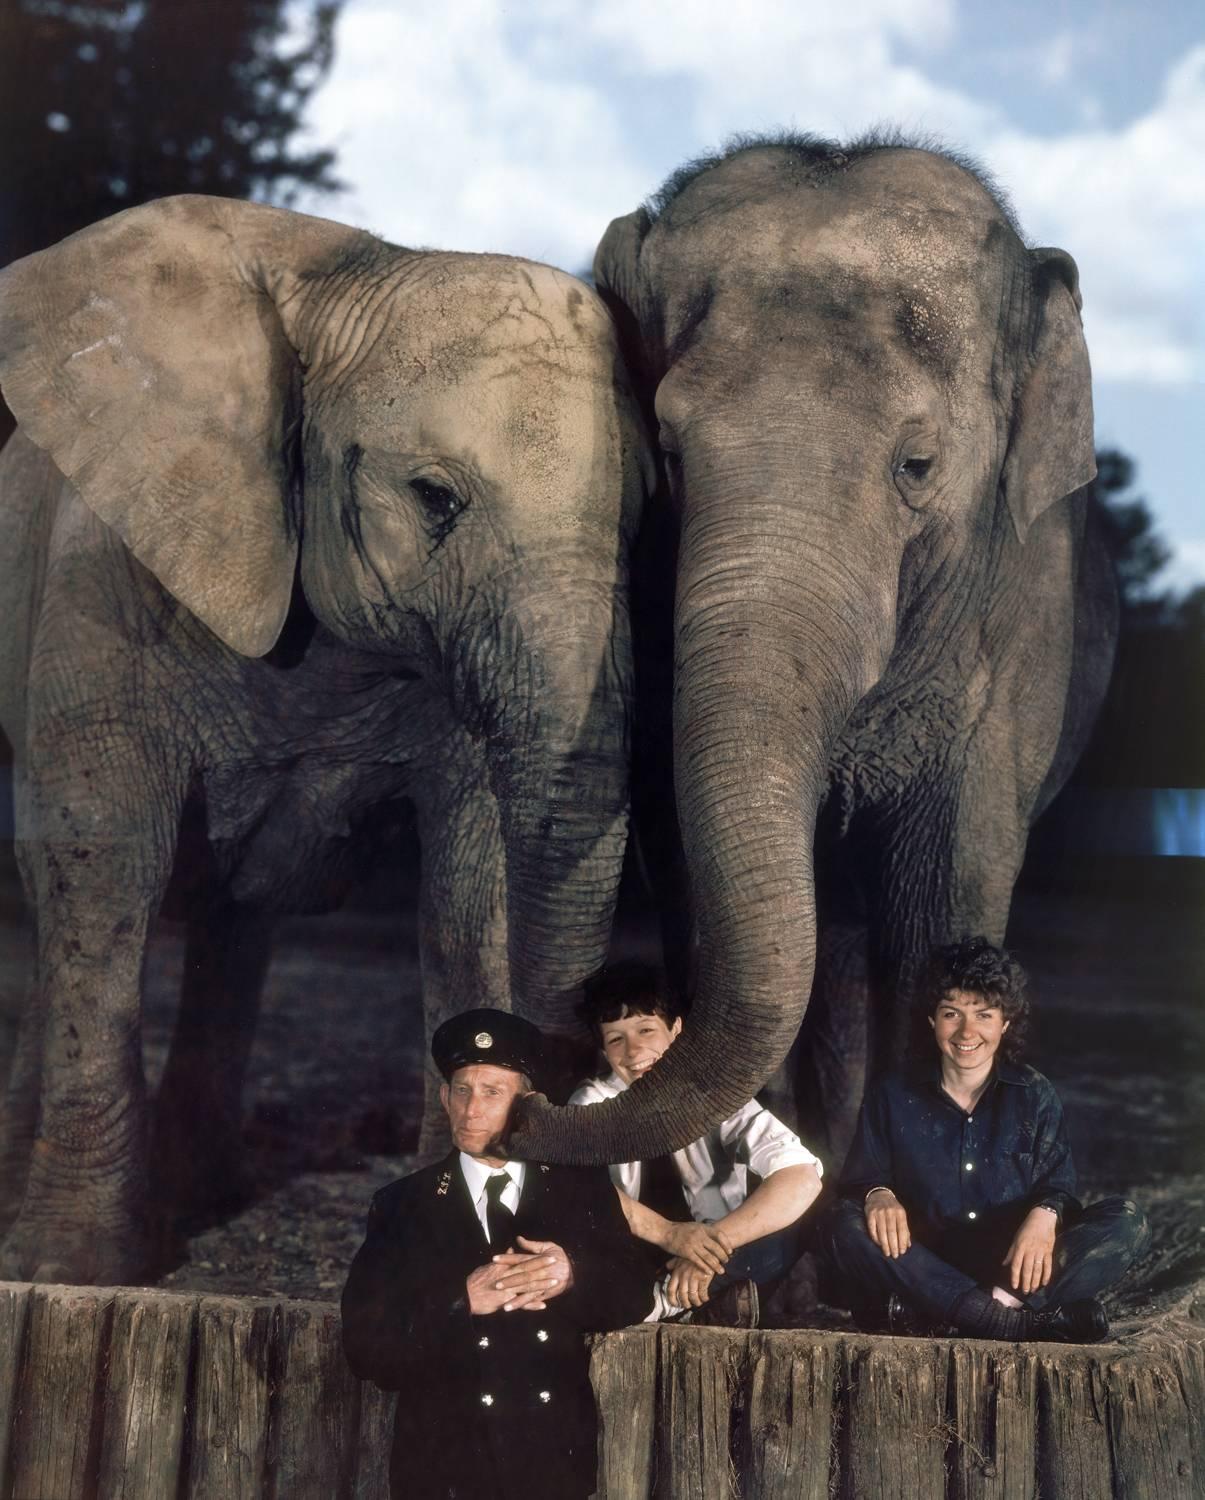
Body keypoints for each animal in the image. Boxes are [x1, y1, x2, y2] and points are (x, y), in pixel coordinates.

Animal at [0, 193, 651, 1284]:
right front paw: (67, 1269)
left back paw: (202, 1188)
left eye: (645, 515)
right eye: (434, 497)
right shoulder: (106, 567)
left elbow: (471, 882)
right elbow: (102, 856)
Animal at [507, 138, 1110, 1170]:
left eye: (916, 467)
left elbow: (945, 890)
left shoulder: (1019, 630)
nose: (521, 1108)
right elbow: (697, 877)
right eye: (667, 449)